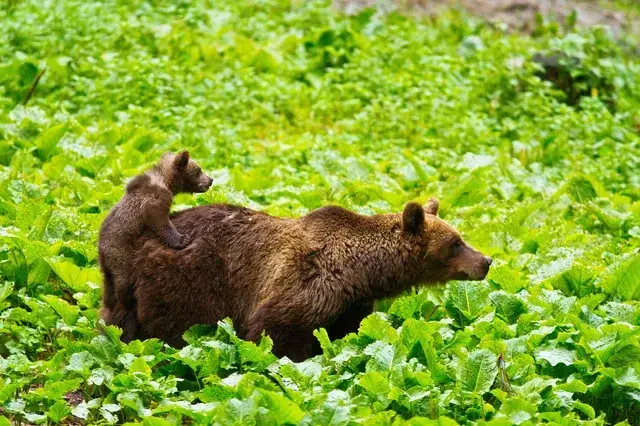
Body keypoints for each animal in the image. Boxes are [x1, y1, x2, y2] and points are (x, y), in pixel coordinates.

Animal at [98, 150, 213, 342]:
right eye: (198, 169)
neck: (167, 181)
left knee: (108, 292)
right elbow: (156, 216)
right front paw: (183, 239)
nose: (211, 180)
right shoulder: (155, 196)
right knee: (124, 288)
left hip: (106, 269)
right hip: (121, 255)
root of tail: (101, 253)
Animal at [107, 197, 492, 361]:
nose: (486, 261)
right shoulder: (307, 282)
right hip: (187, 281)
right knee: (173, 328)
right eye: (455, 243)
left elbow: (344, 332)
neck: (361, 270)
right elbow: (278, 329)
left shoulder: (351, 304)